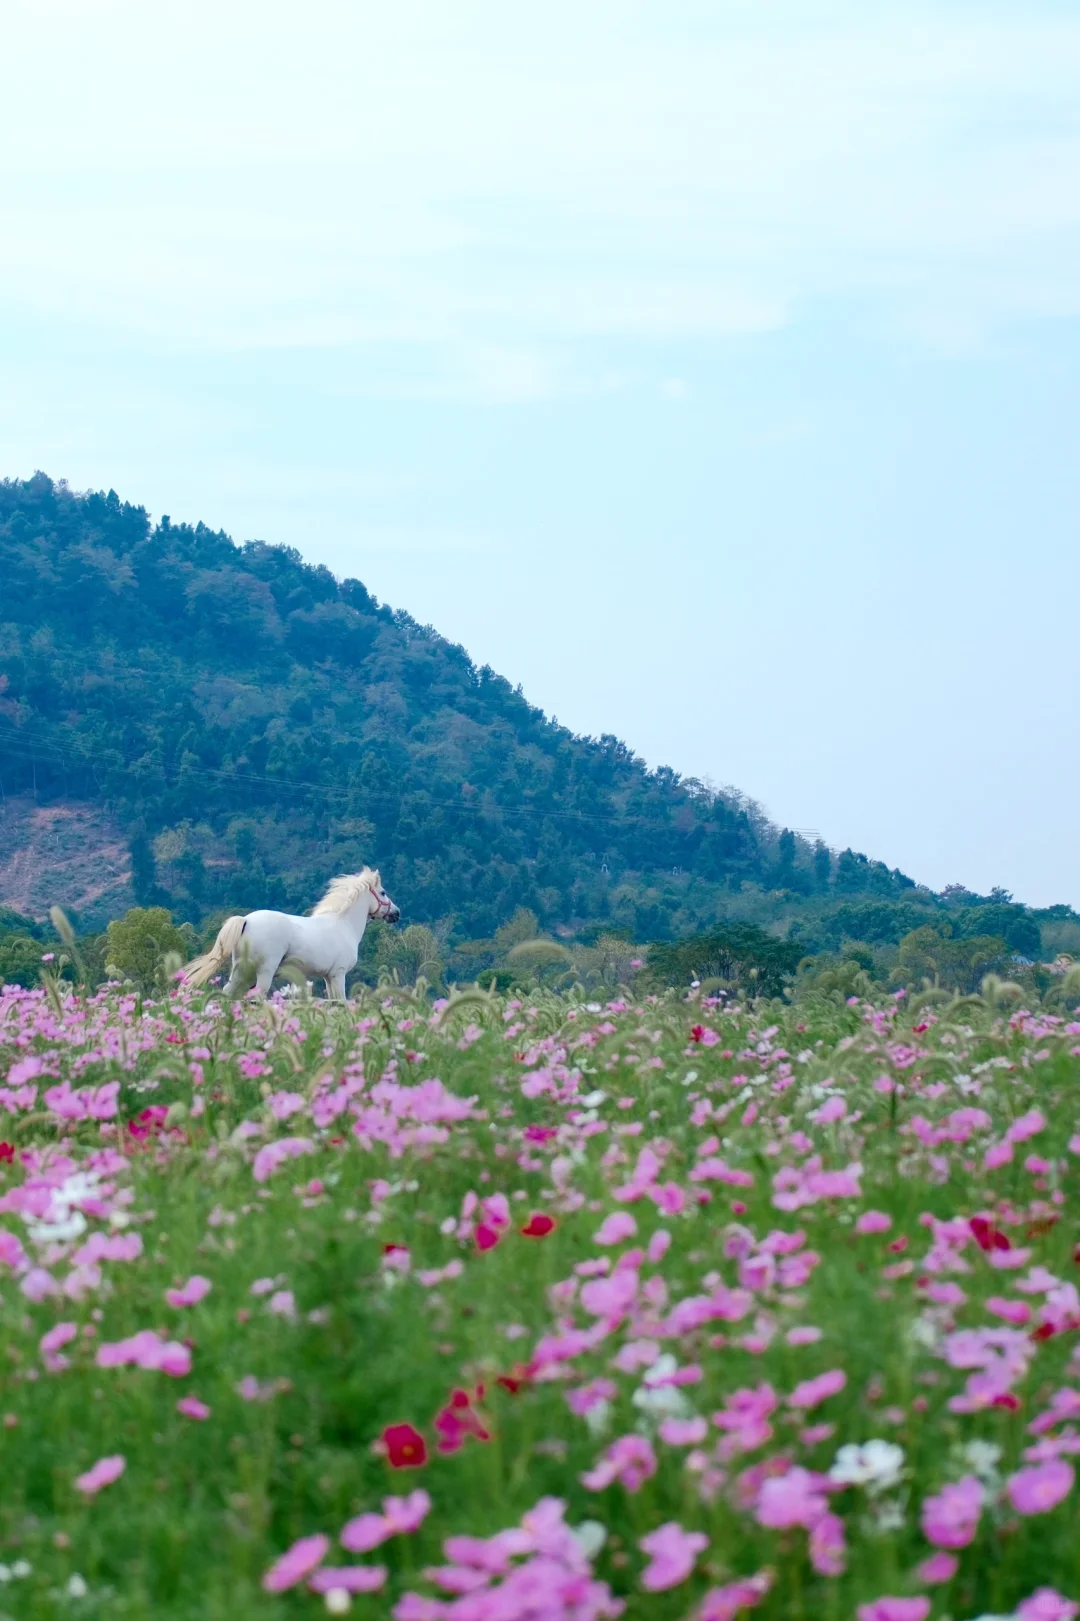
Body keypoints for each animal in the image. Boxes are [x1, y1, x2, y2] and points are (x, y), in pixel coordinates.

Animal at [180, 868, 398, 992]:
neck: (344, 926)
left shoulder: (328, 977)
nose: (397, 913)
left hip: (243, 971)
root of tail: (246, 921)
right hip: (264, 971)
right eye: (383, 892)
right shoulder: (338, 974)